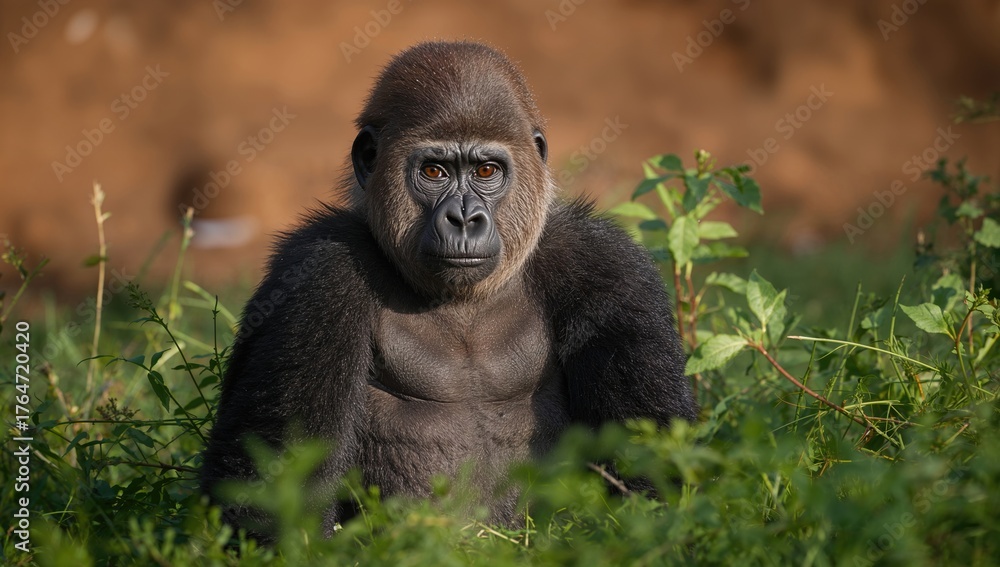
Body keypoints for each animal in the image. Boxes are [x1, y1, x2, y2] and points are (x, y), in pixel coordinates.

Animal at [200, 40, 696, 542]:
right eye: (435, 171)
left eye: (487, 170)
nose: (463, 218)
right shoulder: (316, 273)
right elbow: (275, 486)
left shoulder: (608, 268)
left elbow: (650, 473)